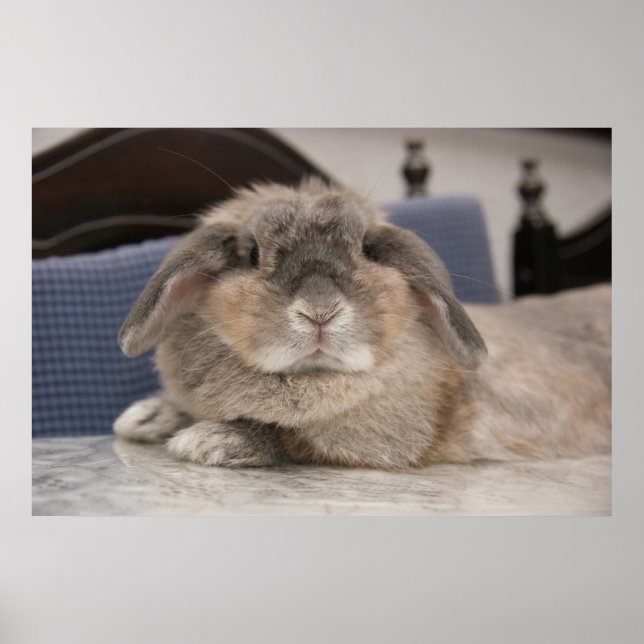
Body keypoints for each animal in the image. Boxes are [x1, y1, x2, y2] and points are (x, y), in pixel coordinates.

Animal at [113, 179, 611, 469]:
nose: (320, 311)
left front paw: (209, 440)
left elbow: (295, 440)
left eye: (368, 251)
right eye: (252, 254)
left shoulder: (387, 439)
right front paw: (146, 417)